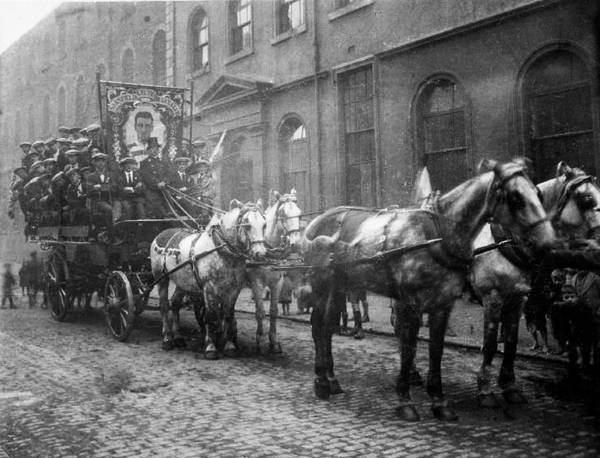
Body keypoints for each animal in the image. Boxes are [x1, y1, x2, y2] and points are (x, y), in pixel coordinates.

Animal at [151, 199, 268, 360]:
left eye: (264, 224)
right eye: (246, 224)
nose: (260, 253)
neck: (221, 250)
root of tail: (161, 233)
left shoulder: (234, 289)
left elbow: (228, 315)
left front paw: (229, 346)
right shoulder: (209, 287)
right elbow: (211, 315)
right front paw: (211, 347)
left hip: (183, 282)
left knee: (174, 303)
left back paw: (179, 337)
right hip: (161, 278)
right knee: (163, 306)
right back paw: (167, 339)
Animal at [245, 188, 302, 352]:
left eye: (300, 213)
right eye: (282, 213)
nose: (296, 243)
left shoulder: (277, 282)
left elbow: (274, 312)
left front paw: (274, 341)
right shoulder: (257, 283)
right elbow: (260, 312)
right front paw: (259, 339)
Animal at [302, 158, 560, 422]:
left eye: (538, 193)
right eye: (515, 197)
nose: (550, 243)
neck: (437, 236)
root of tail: (316, 222)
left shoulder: (445, 304)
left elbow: (437, 350)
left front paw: (439, 400)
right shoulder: (412, 304)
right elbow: (409, 348)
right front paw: (405, 400)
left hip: (340, 285)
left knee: (328, 326)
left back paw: (331, 379)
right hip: (321, 283)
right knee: (319, 326)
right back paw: (321, 381)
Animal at [472, 163, 600, 406]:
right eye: (586, 197)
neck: (507, 243)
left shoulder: (517, 300)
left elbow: (511, 343)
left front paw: (509, 387)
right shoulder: (493, 299)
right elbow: (491, 344)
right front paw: (485, 390)